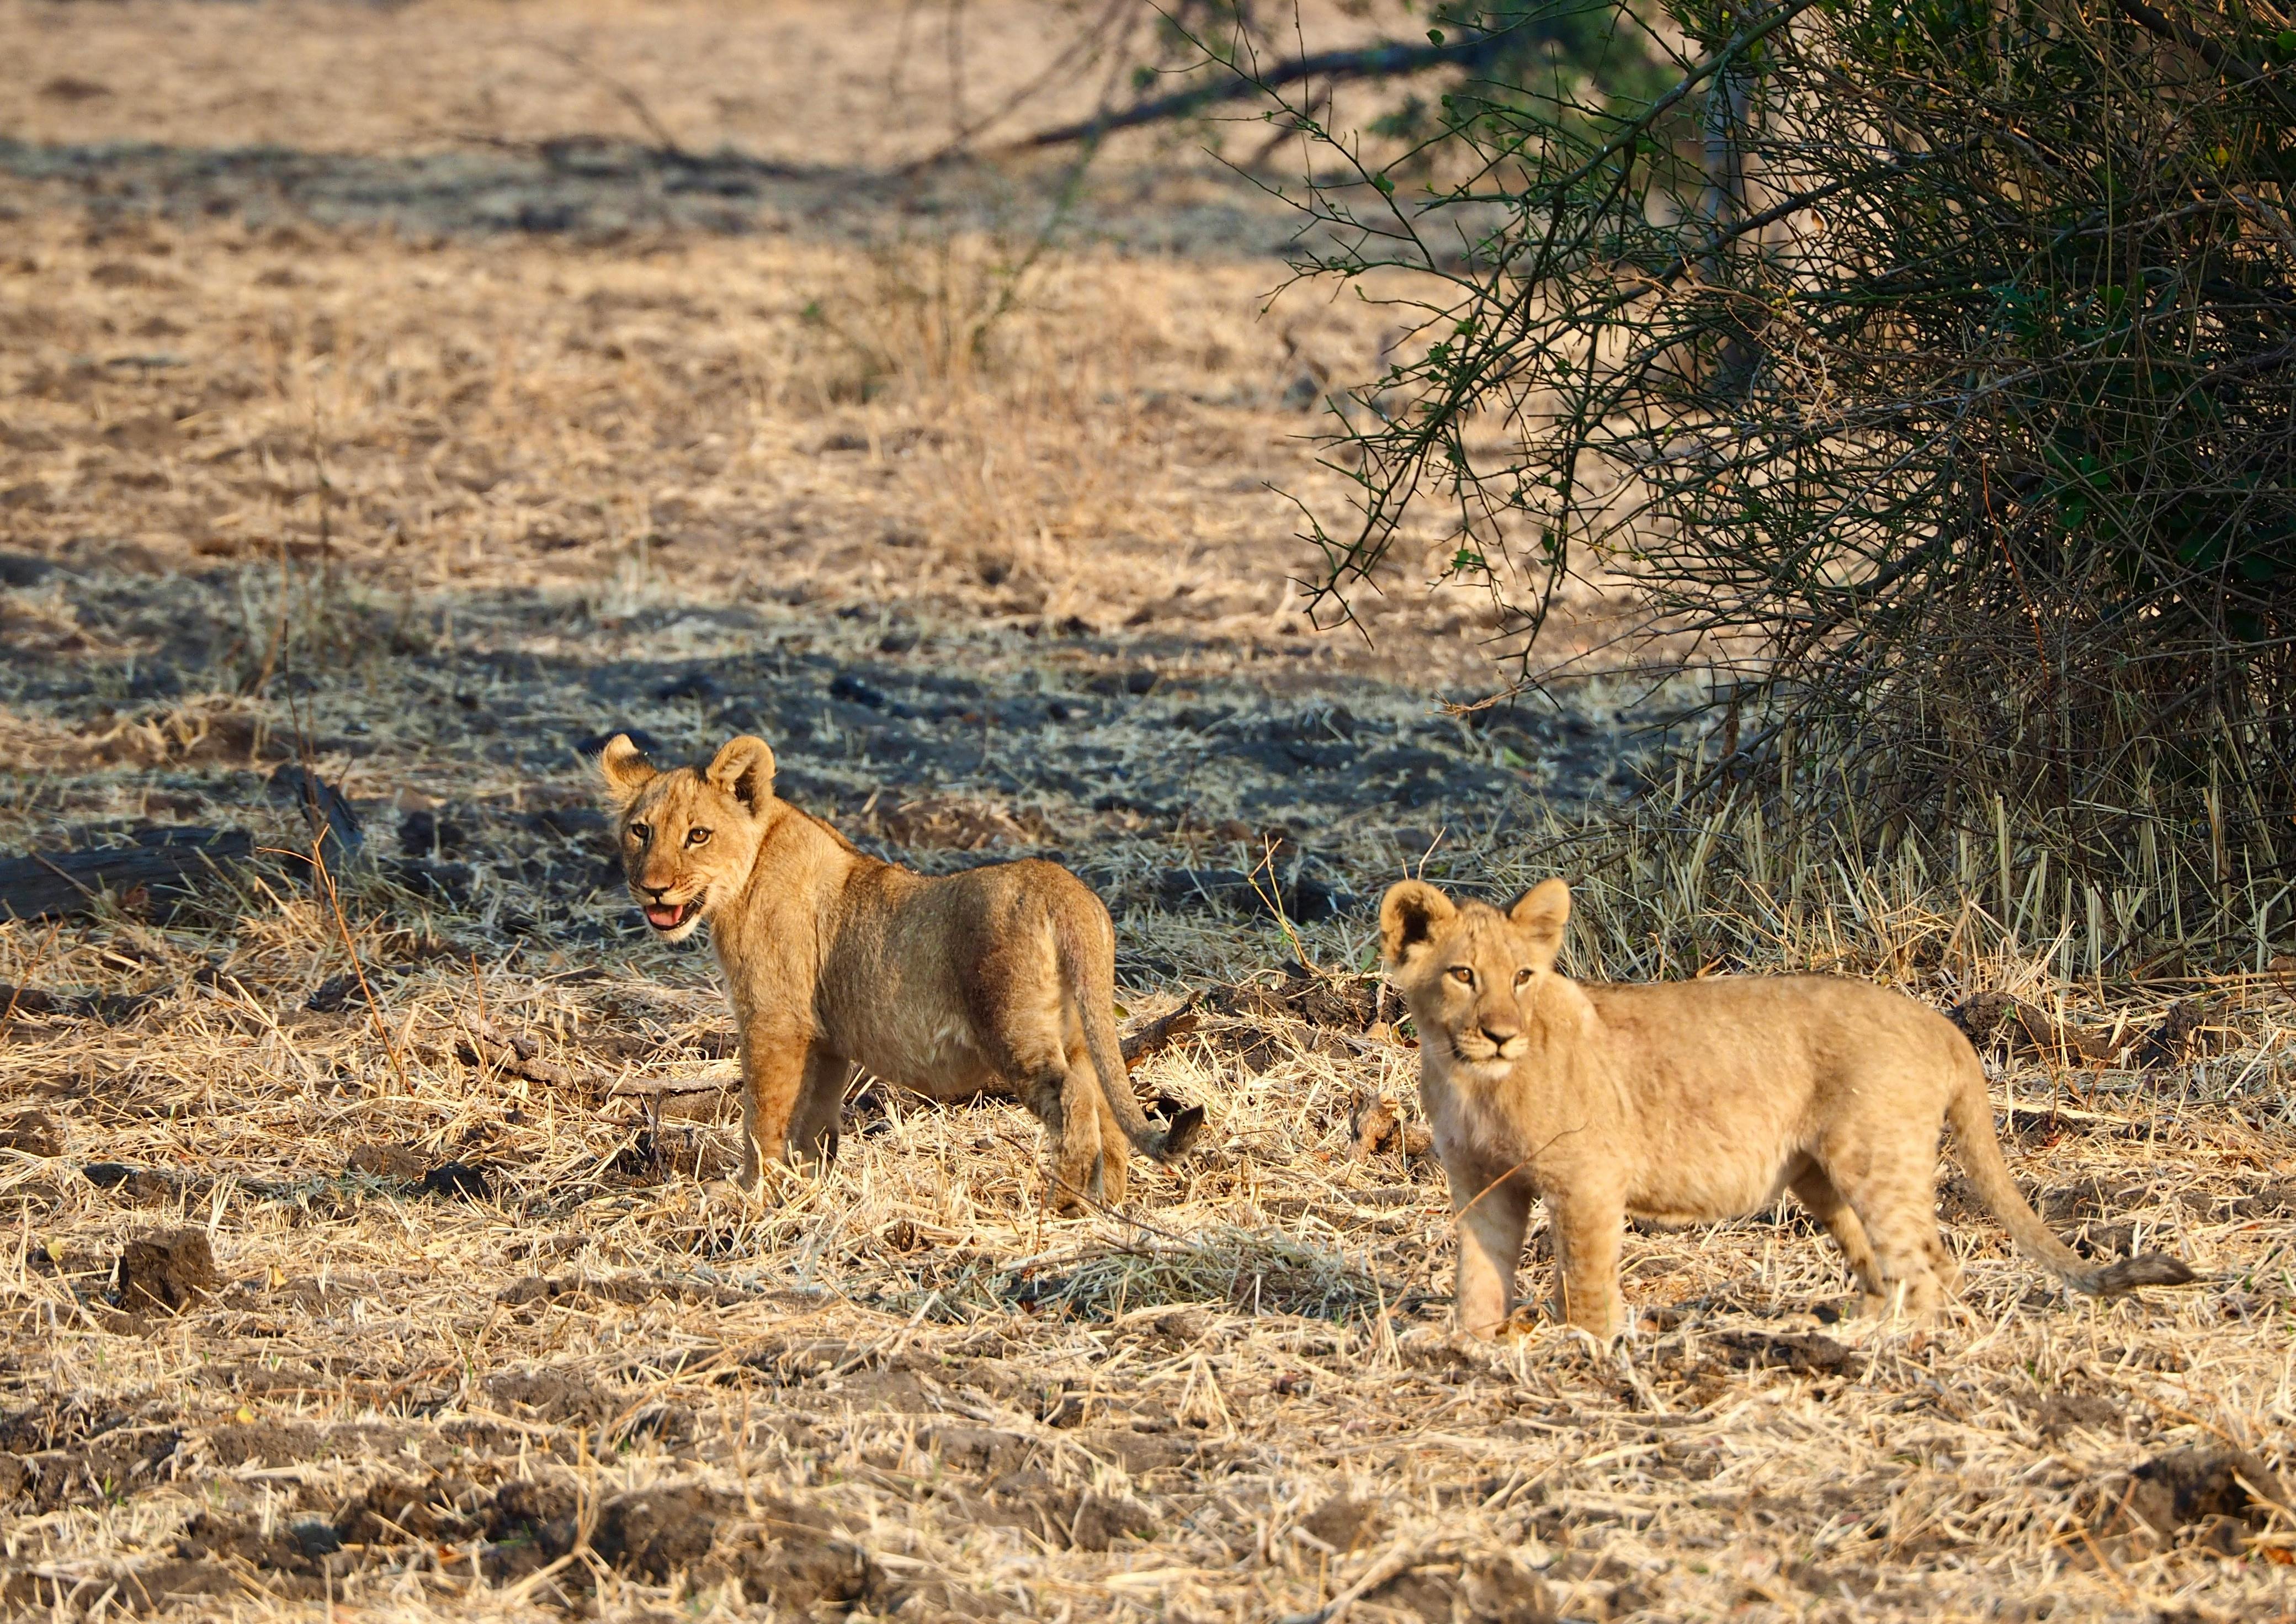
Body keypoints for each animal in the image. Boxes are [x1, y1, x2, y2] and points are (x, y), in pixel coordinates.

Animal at [597, 732, 1204, 1212]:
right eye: (640, 831)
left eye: (698, 834)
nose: (652, 889)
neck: (744, 874)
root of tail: (1065, 888)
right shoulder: (824, 1038)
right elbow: (812, 1119)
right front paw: (804, 1192)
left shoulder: (773, 1021)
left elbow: (763, 1113)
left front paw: (748, 1193)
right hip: (1078, 1026)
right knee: (1105, 1103)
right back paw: (1108, 1205)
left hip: (1013, 1027)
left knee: (1073, 1096)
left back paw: (1062, 1204)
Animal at [1379, 875, 2196, 1339]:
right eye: (1462, 974)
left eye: (1522, 976)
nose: (1500, 1032)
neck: (1473, 1080)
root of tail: (1942, 1024)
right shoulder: (1480, 1182)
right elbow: (1479, 1270)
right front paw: (1467, 1344)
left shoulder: (1587, 1180)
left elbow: (1584, 1277)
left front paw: (1584, 1349)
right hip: (1819, 1175)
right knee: (1893, 1265)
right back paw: (1850, 1326)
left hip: (1874, 1156)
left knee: (1930, 1262)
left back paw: (1882, 1345)